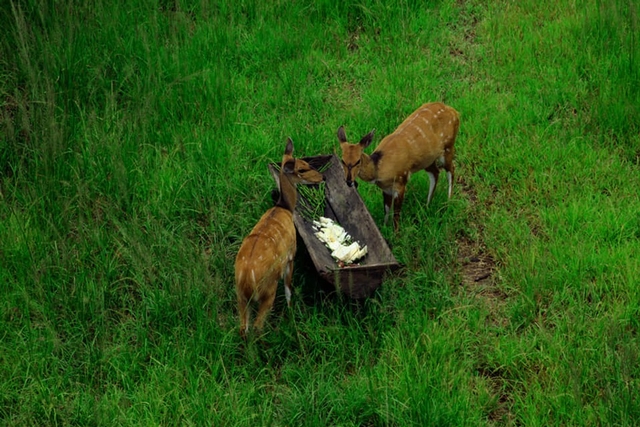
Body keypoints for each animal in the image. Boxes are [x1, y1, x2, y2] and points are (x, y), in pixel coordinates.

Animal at [234, 137, 324, 338]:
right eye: (302, 169)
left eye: (306, 162)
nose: (322, 177)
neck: (283, 207)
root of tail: (246, 280)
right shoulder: (291, 255)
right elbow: (289, 288)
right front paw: (291, 312)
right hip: (268, 290)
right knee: (257, 327)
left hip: (240, 297)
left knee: (243, 329)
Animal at [338, 102, 458, 231]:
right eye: (342, 160)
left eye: (358, 161)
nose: (349, 181)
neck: (379, 168)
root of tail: (454, 111)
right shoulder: (386, 188)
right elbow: (386, 210)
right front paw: (384, 228)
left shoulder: (401, 182)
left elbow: (396, 214)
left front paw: (396, 233)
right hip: (427, 159)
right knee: (435, 173)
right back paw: (427, 206)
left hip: (448, 146)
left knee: (451, 169)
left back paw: (448, 203)